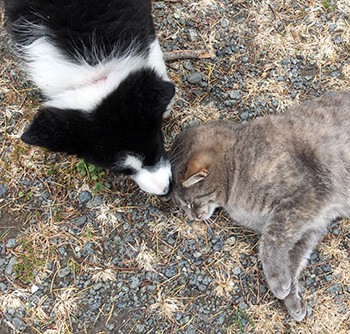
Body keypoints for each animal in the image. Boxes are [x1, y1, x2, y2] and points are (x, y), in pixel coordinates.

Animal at [171, 91, 350, 320]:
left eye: (190, 202)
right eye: (182, 207)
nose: (191, 217)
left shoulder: (301, 199)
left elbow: (269, 244)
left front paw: (278, 281)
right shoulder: (313, 222)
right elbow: (292, 260)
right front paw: (291, 298)